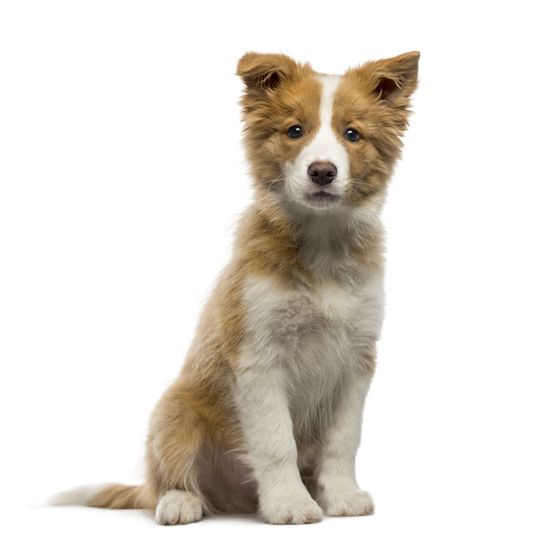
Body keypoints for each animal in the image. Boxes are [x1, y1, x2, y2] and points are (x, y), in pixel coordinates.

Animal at [54, 51, 420, 524]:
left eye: (352, 134)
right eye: (294, 130)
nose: (322, 172)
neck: (321, 246)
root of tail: (234, 499)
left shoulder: (357, 358)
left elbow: (343, 439)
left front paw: (341, 497)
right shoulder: (258, 356)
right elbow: (276, 441)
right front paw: (289, 505)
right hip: (174, 407)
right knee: (165, 482)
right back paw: (181, 501)